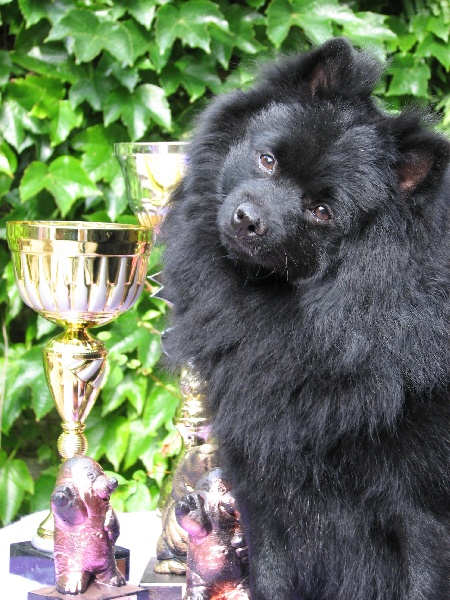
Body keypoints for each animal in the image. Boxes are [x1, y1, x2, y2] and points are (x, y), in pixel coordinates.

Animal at [161, 38, 450, 600]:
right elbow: (272, 575)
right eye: (267, 159)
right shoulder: (263, 490)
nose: (248, 219)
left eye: (321, 211)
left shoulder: (421, 514)